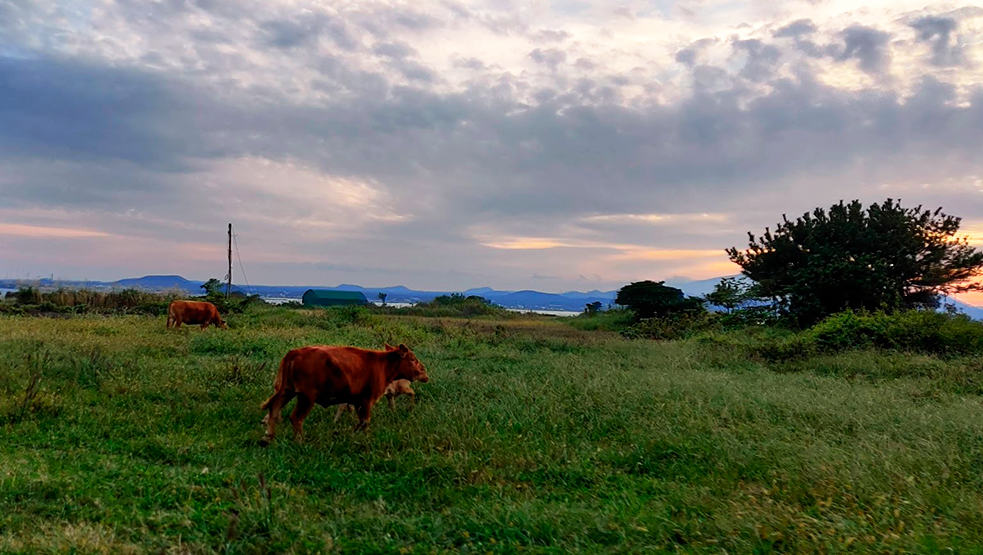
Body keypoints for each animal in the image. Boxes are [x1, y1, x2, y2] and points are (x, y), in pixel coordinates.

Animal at [260, 344, 428, 444]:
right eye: (412, 359)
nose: (424, 372)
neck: (382, 364)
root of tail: (294, 353)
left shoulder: (356, 402)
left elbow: (360, 421)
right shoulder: (367, 400)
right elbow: (365, 422)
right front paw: (364, 439)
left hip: (287, 391)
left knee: (274, 407)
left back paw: (268, 437)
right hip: (306, 397)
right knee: (296, 417)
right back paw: (300, 441)